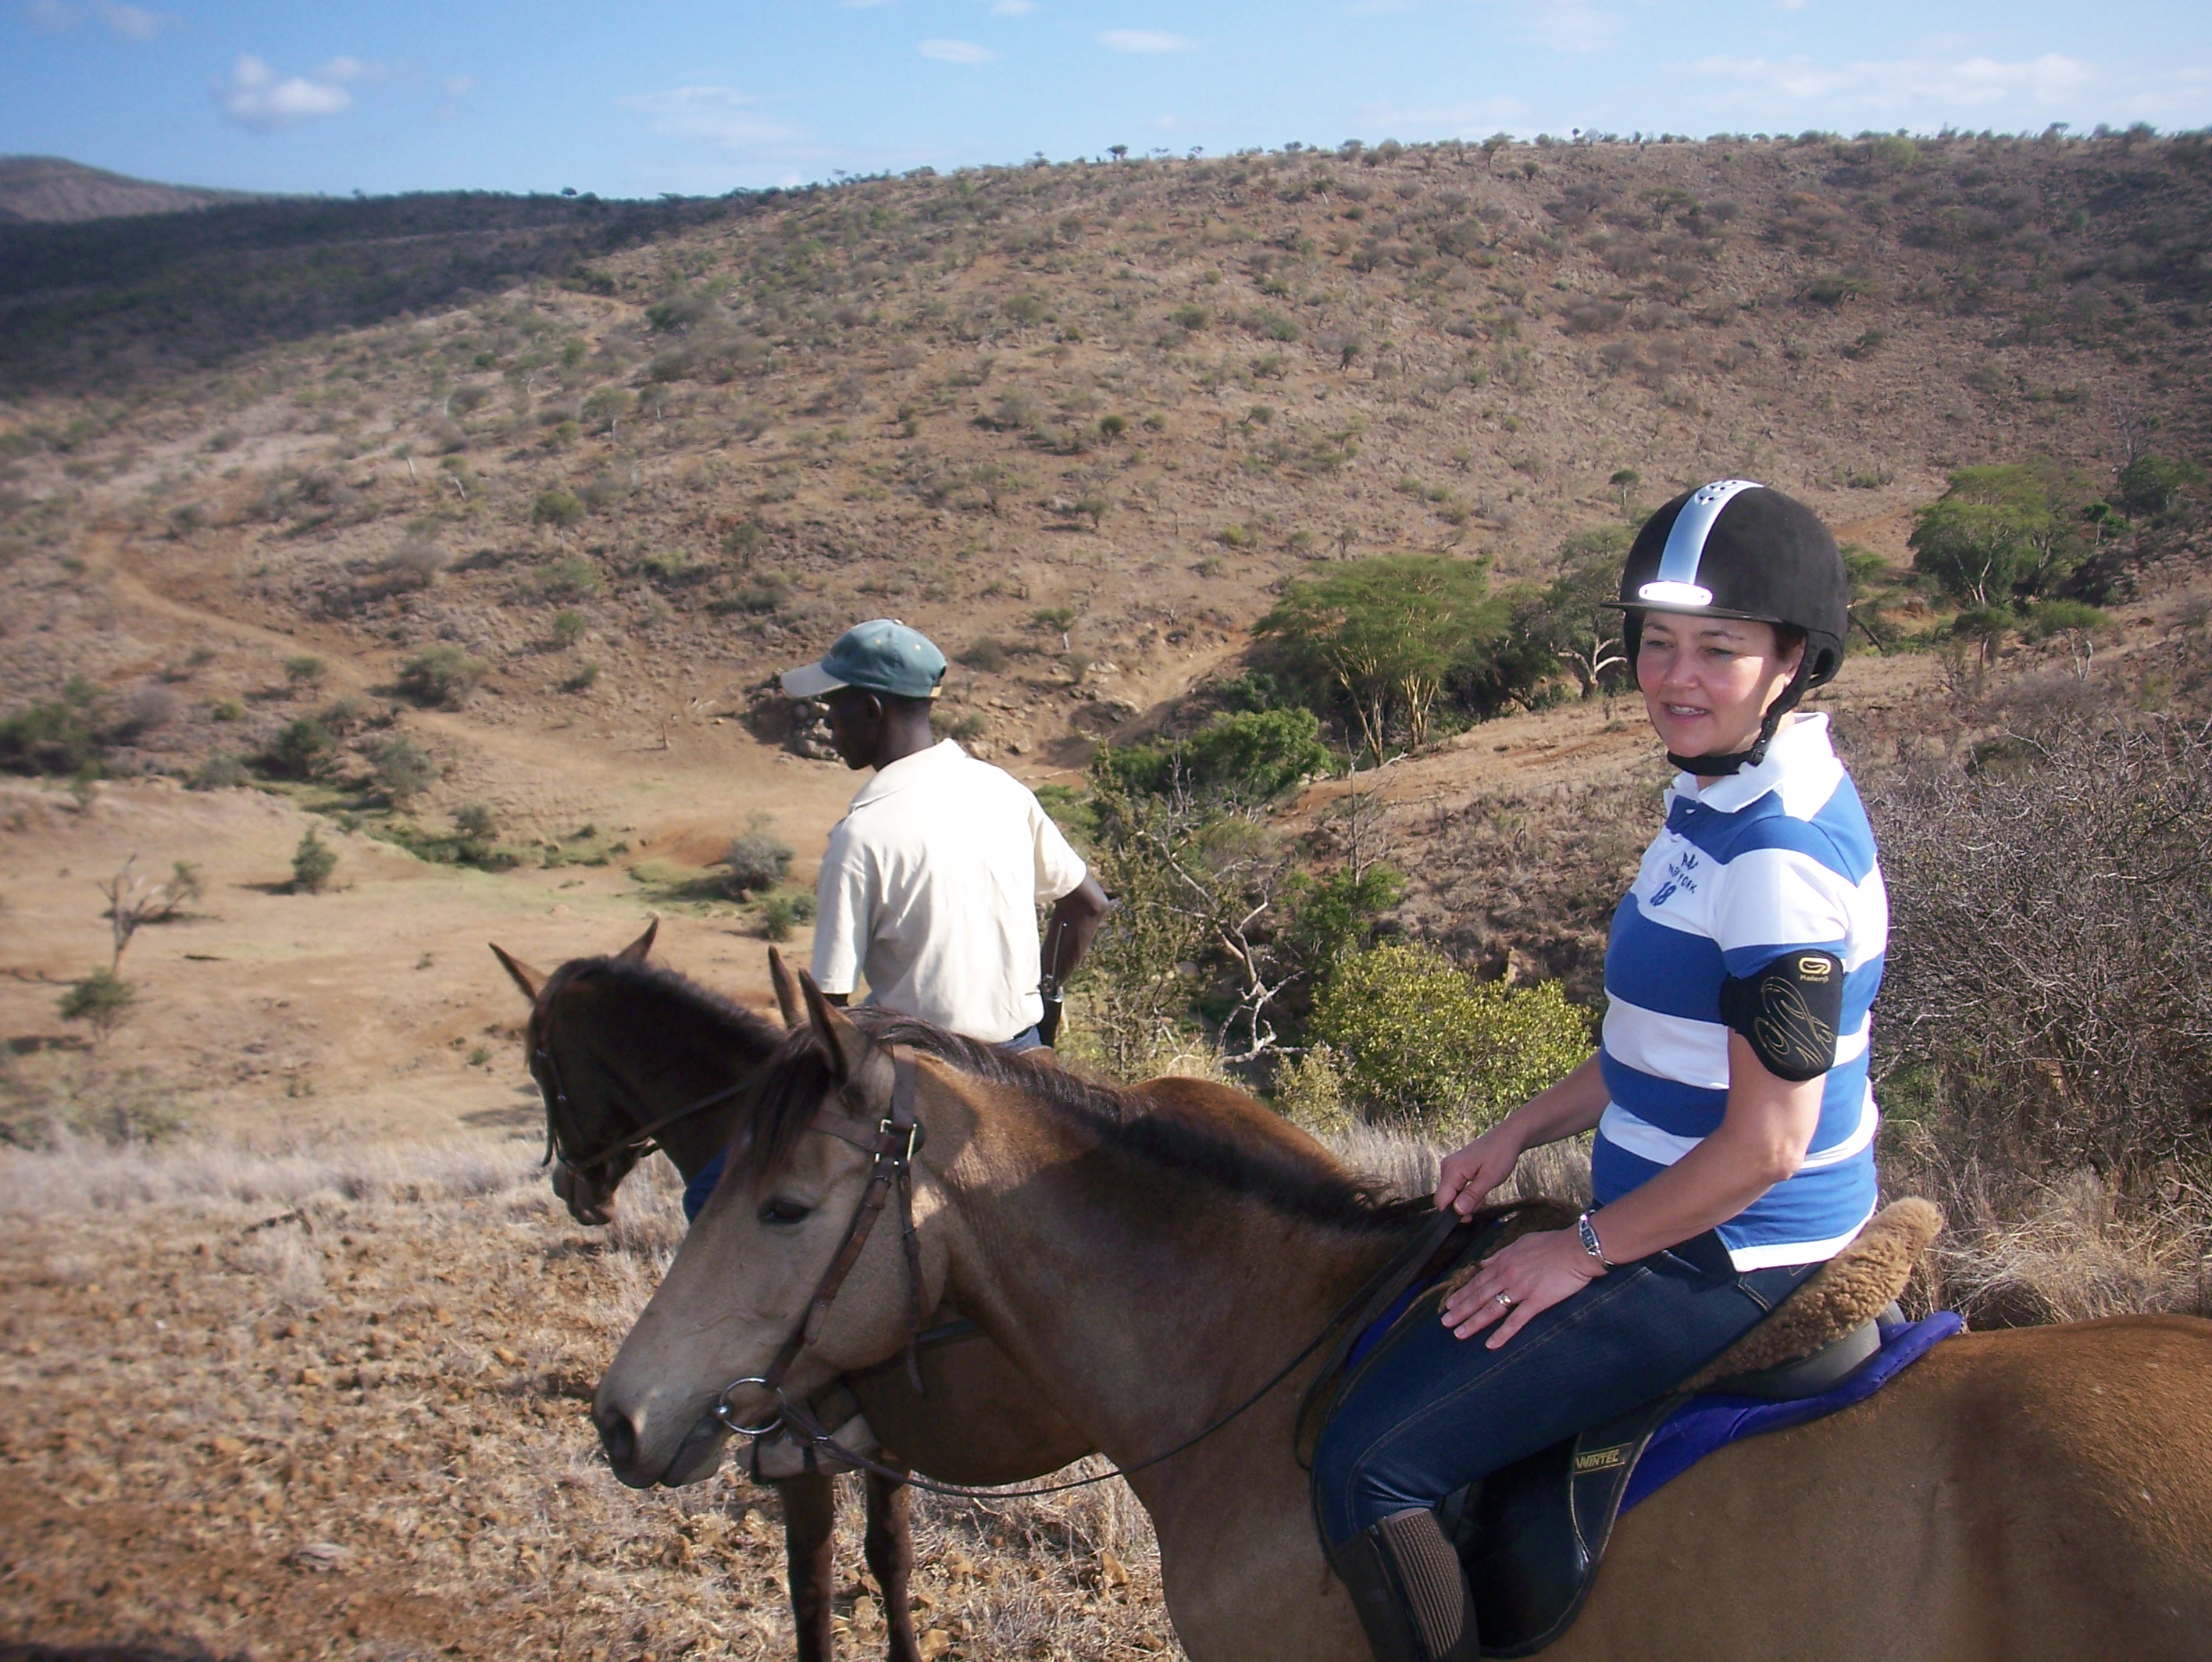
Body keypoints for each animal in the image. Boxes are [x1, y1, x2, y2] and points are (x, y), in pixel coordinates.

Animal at [489, 926, 1091, 1662]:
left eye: (539, 1066)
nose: (574, 1191)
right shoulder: (882, 1453)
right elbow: (890, 1554)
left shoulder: (794, 1455)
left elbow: (812, 1585)